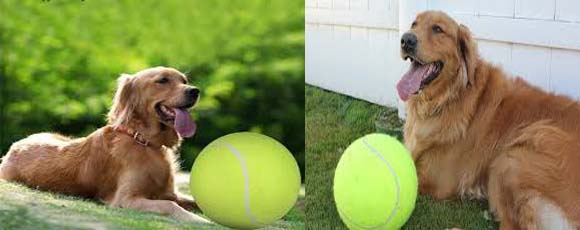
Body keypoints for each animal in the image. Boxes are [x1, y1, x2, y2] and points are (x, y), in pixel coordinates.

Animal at [0, 66, 210, 223]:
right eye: (163, 80)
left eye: (184, 80)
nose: (195, 91)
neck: (143, 141)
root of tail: (14, 147)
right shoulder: (126, 199)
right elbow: (170, 205)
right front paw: (201, 221)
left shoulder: (169, 193)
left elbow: (195, 201)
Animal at [402, 10, 580, 228]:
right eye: (414, 24)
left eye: (437, 29)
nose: (406, 39)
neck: (447, 99)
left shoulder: (438, 180)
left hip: (511, 158)